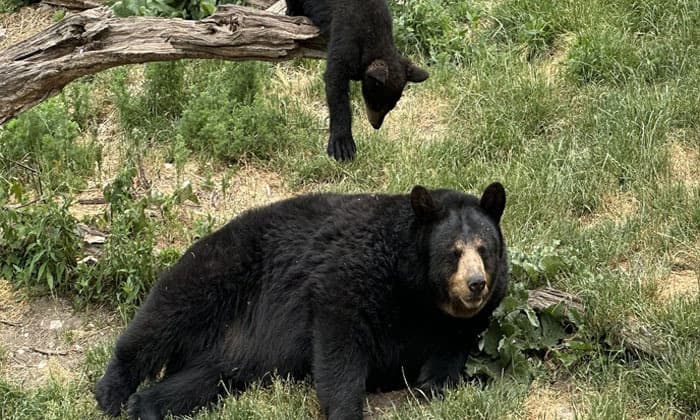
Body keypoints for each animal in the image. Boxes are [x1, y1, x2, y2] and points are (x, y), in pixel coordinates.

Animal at [94, 182, 508, 420]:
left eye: (484, 249)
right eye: (454, 252)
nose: (476, 284)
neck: (419, 292)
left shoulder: (462, 322)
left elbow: (447, 355)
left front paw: (431, 387)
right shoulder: (353, 272)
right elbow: (340, 339)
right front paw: (346, 411)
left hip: (232, 353)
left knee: (205, 378)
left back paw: (148, 405)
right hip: (220, 269)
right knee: (163, 316)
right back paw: (113, 392)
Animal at [285, 0, 430, 161]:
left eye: (391, 106)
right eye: (376, 103)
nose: (376, 125)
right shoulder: (346, 36)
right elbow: (335, 82)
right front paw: (342, 145)